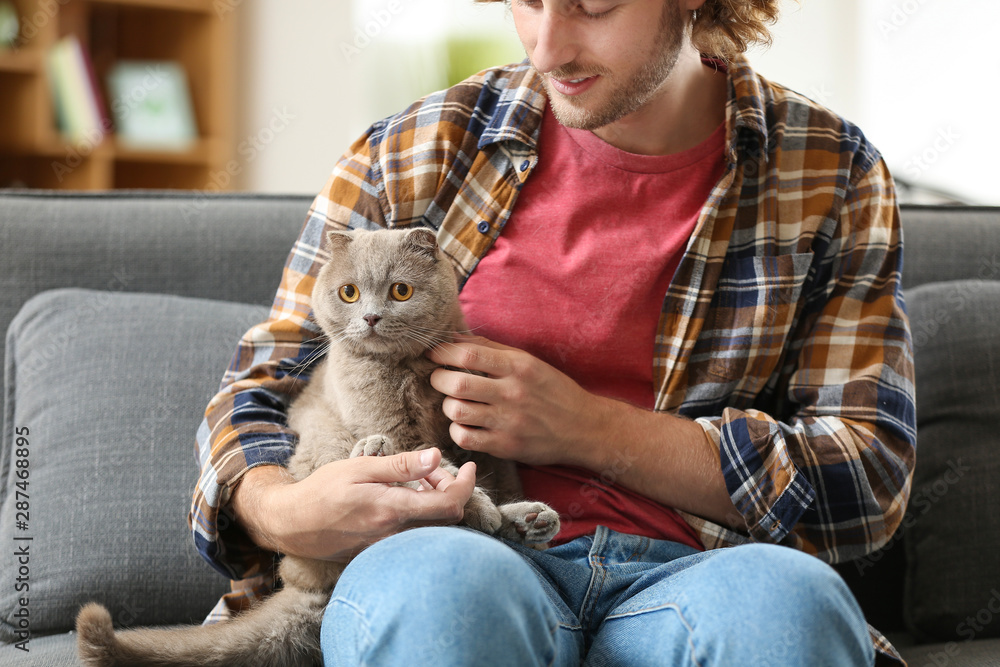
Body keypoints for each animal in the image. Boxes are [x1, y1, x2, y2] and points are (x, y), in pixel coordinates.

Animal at [76, 228, 564, 667]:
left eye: (400, 290)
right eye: (349, 293)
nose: (370, 317)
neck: (404, 371)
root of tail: (306, 590)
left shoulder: (477, 436)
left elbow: (476, 469)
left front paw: (497, 511)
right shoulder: (387, 424)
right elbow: (437, 466)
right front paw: (473, 502)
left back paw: (529, 521)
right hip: (321, 443)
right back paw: (377, 454)